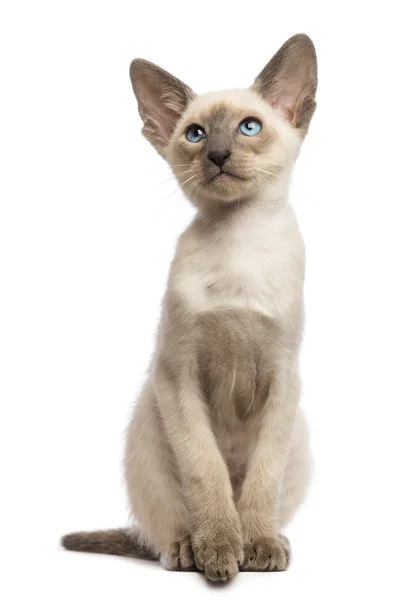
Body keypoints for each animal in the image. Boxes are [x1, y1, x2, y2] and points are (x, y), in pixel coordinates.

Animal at [61, 31, 318, 580]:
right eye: (195, 134)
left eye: (249, 127)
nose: (218, 154)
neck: (239, 242)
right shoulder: (178, 375)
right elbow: (207, 474)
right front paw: (220, 549)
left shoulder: (284, 379)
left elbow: (260, 481)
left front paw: (256, 544)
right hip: (147, 423)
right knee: (162, 528)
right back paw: (188, 550)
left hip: (300, 435)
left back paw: (270, 540)